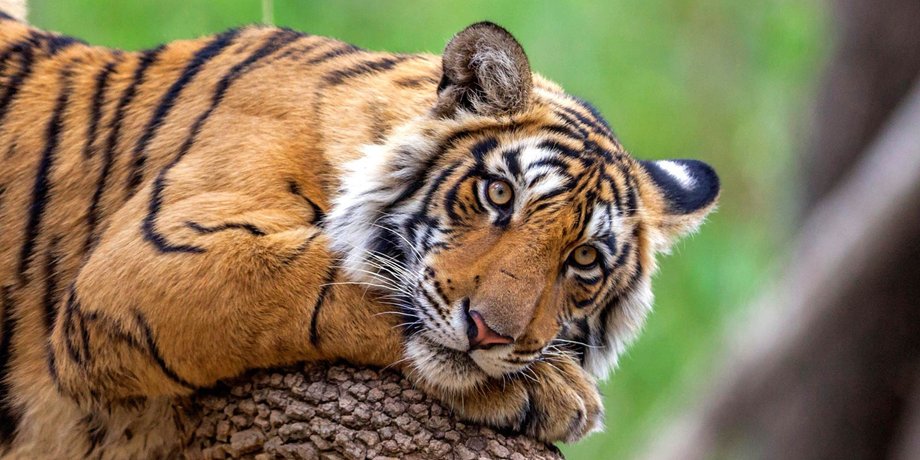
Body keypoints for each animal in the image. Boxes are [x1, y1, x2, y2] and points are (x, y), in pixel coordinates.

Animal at [0, 2, 720, 458]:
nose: (491, 333)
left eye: (585, 260)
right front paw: (556, 391)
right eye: (498, 194)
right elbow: (336, 283)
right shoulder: (141, 264)